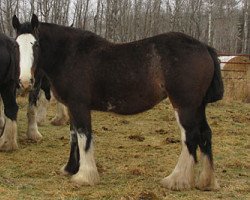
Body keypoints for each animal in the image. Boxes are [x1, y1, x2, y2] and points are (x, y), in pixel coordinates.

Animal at [11, 14, 224, 191]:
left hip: (185, 106)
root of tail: (204, 47)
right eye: (16, 45)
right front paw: (71, 168)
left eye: (35, 44)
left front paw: (85, 176)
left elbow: (84, 137)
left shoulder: (79, 106)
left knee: (191, 136)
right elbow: (74, 136)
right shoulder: (72, 107)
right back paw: (206, 182)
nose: (24, 81)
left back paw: (176, 180)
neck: (69, 55)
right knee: (205, 134)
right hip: (198, 106)